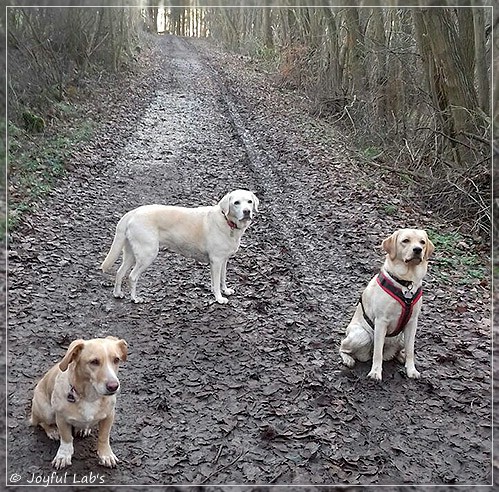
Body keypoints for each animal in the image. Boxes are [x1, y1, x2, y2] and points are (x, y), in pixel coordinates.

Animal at [30, 338, 128, 468]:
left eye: (116, 360)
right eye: (94, 362)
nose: (113, 386)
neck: (89, 397)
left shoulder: (109, 416)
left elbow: (103, 437)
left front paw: (106, 455)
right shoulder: (61, 418)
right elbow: (66, 438)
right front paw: (63, 455)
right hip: (46, 412)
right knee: (40, 422)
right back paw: (52, 431)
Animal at [340, 230, 434, 380]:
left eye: (422, 242)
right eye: (405, 241)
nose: (418, 250)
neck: (405, 283)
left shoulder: (412, 322)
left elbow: (411, 350)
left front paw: (411, 370)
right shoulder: (381, 322)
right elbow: (378, 352)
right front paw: (375, 373)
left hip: (401, 337)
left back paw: (400, 356)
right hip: (362, 335)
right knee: (343, 346)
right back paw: (348, 359)